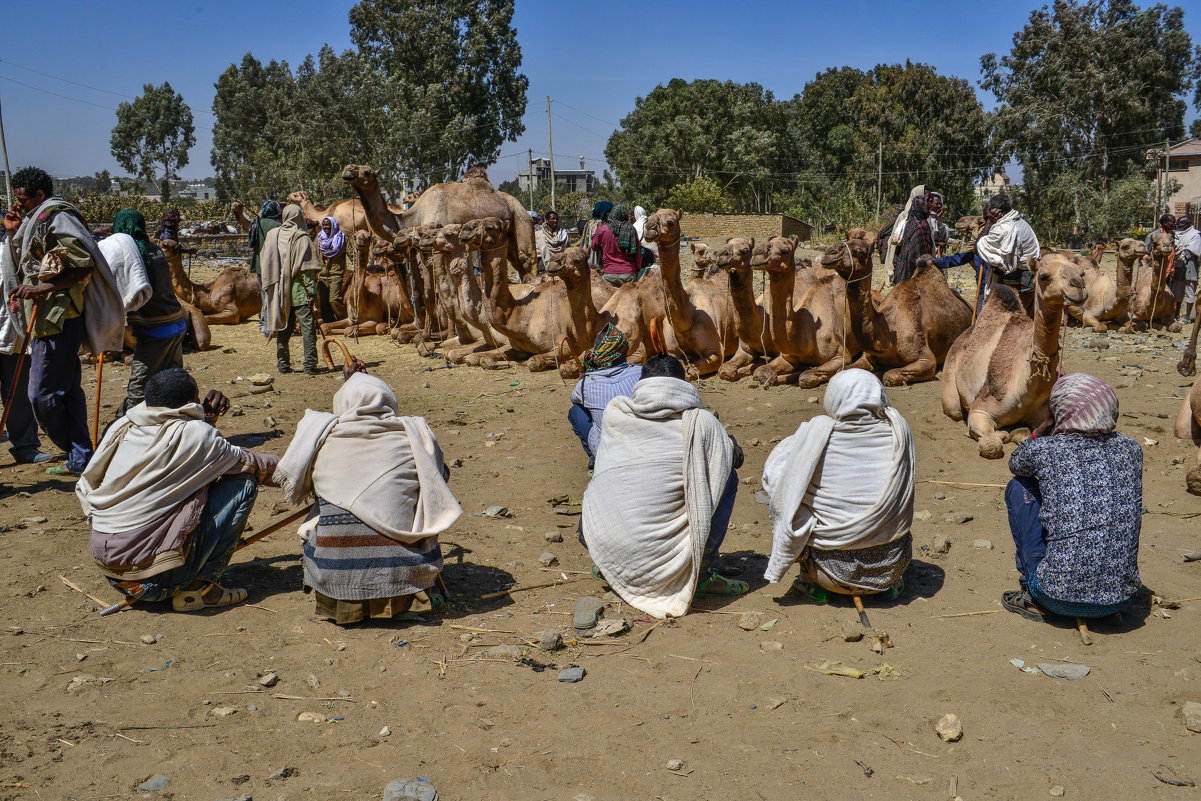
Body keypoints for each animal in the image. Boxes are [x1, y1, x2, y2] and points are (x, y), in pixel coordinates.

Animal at [345, 164, 538, 283]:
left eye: (367, 172)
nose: (348, 169)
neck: (413, 217)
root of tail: (518, 204)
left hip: (521, 218)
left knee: (526, 258)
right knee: (518, 263)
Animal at [821, 240, 970, 386]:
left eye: (858, 251)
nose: (829, 253)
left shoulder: (926, 360)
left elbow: (889, 375)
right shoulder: (867, 356)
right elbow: (842, 370)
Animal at [941, 253, 1095, 461]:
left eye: (1082, 273)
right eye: (1044, 276)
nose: (1078, 285)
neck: (1027, 387)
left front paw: (1014, 432)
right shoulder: (980, 409)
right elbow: (991, 446)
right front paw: (1000, 435)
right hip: (950, 378)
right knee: (955, 411)